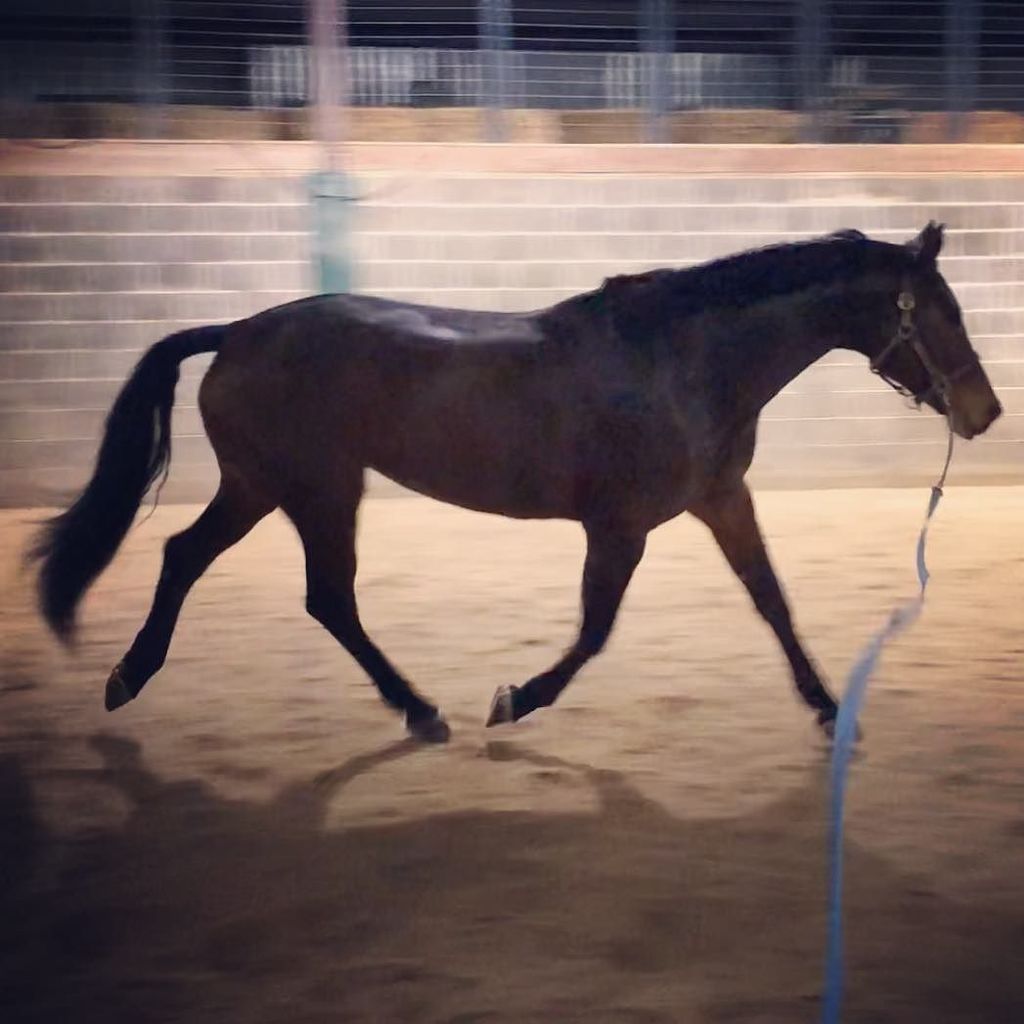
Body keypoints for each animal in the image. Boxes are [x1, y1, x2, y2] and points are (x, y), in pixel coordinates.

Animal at [29, 222, 1002, 743]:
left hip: (268, 486)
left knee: (192, 558)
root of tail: (235, 331)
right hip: (311, 488)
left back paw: (136, 676)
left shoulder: (722, 499)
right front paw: (513, 700)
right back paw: (418, 710)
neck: (682, 362)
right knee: (318, 594)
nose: (985, 411)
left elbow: (772, 601)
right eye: (940, 313)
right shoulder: (619, 528)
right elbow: (595, 632)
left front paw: (832, 711)